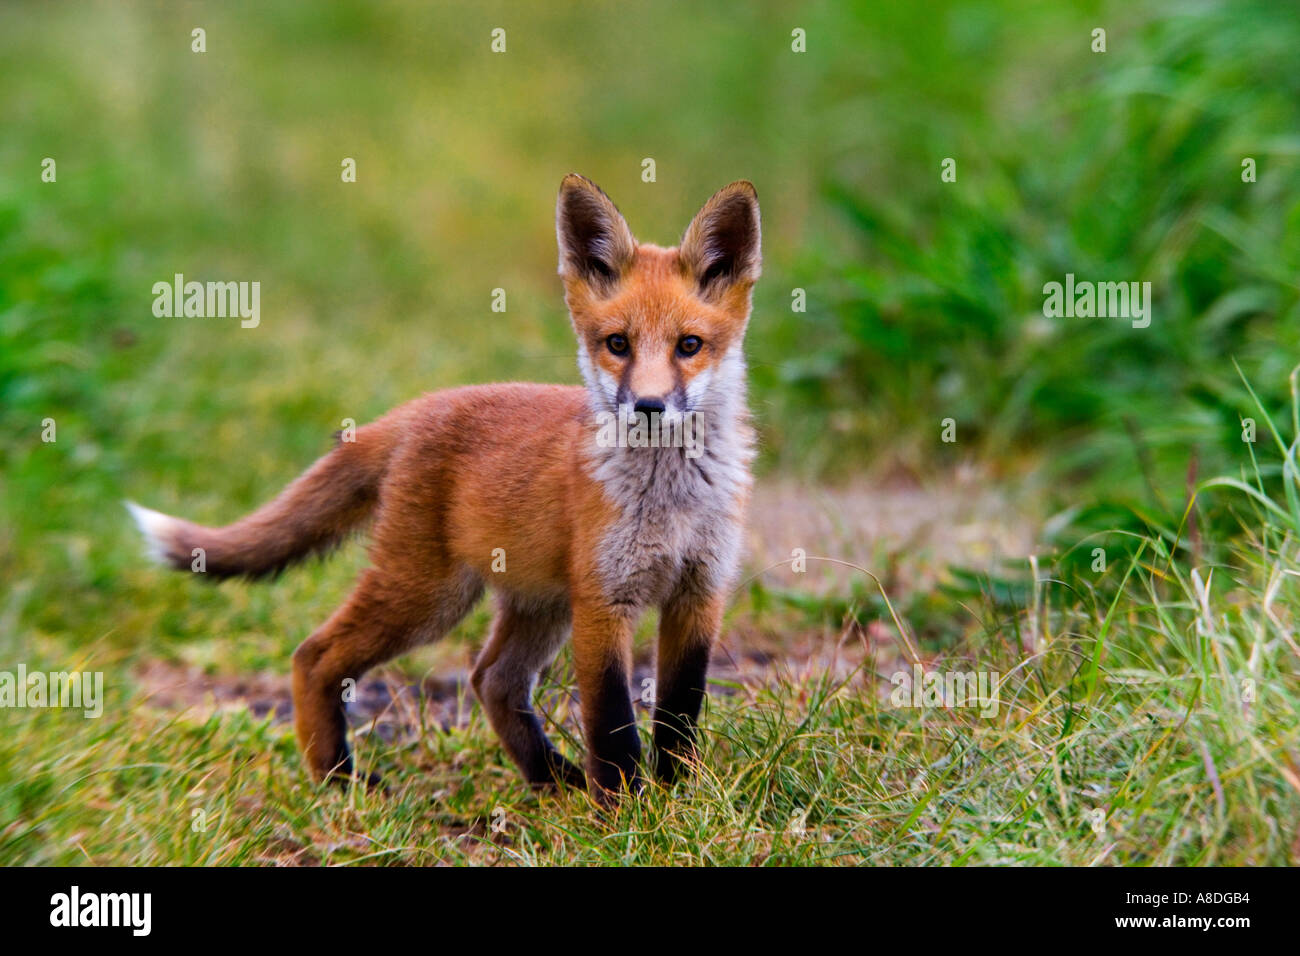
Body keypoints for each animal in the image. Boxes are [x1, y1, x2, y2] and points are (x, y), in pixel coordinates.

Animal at [127, 174, 761, 805]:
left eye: (688, 345)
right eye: (618, 344)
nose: (649, 407)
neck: (671, 500)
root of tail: (421, 406)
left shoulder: (699, 594)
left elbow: (679, 714)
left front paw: (681, 796)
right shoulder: (605, 601)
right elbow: (612, 725)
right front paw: (622, 809)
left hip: (537, 603)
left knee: (492, 679)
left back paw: (550, 780)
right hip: (431, 596)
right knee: (315, 656)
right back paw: (339, 779)